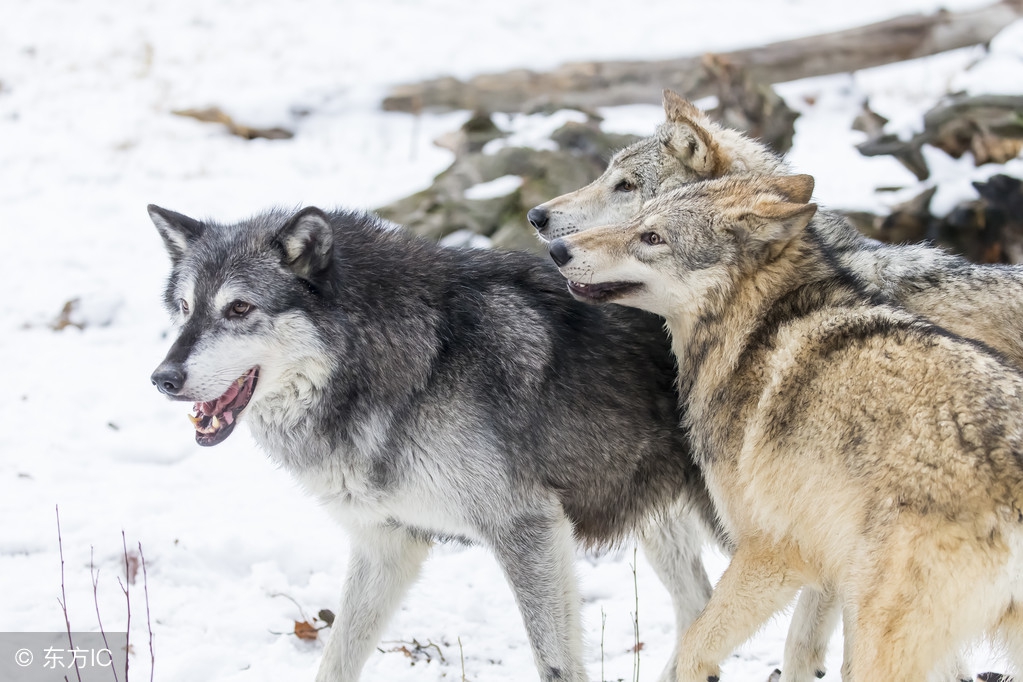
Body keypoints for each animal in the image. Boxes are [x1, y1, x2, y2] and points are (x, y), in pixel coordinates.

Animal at [146, 204, 720, 682]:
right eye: (184, 307)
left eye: (239, 308)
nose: (163, 379)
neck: (412, 363)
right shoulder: (386, 543)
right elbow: (335, 662)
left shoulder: (528, 528)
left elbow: (556, 664)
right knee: (701, 610)